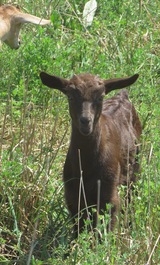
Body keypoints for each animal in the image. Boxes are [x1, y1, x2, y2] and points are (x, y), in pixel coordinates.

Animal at [39, 71, 141, 235]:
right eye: (70, 96)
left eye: (100, 97)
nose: (85, 121)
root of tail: (122, 95)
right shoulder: (73, 197)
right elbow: (79, 230)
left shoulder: (109, 196)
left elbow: (106, 231)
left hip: (135, 171)